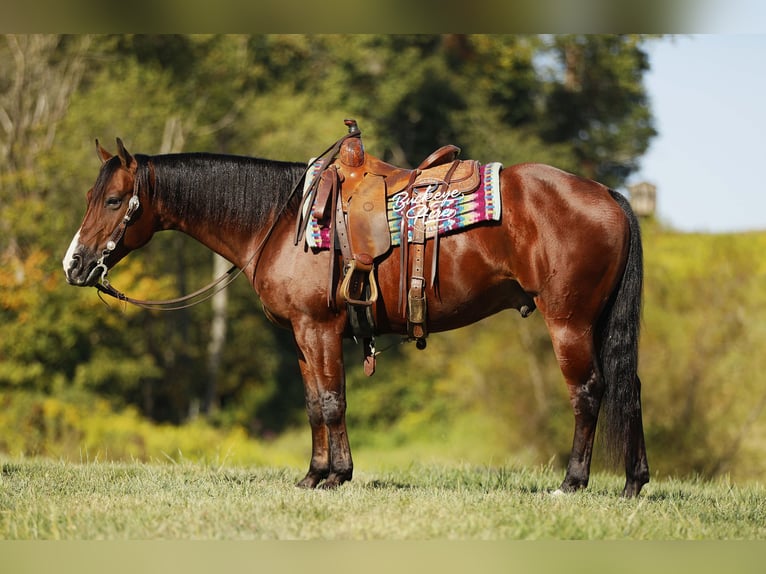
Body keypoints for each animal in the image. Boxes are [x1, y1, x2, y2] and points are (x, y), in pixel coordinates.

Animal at [63, 133, 649, 497]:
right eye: (91, 194)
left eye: (114, 200)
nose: (75, 263)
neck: (281, 222)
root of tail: (608, 194)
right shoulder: (301, 338)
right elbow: (313, 405)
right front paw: (314, 474)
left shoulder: (318, 329)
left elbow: (331, 401)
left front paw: (336, 476)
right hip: (596, 323)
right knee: (628, 386)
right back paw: (633, 482)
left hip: (569, 322)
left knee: (588, 392)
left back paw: (572, 482)